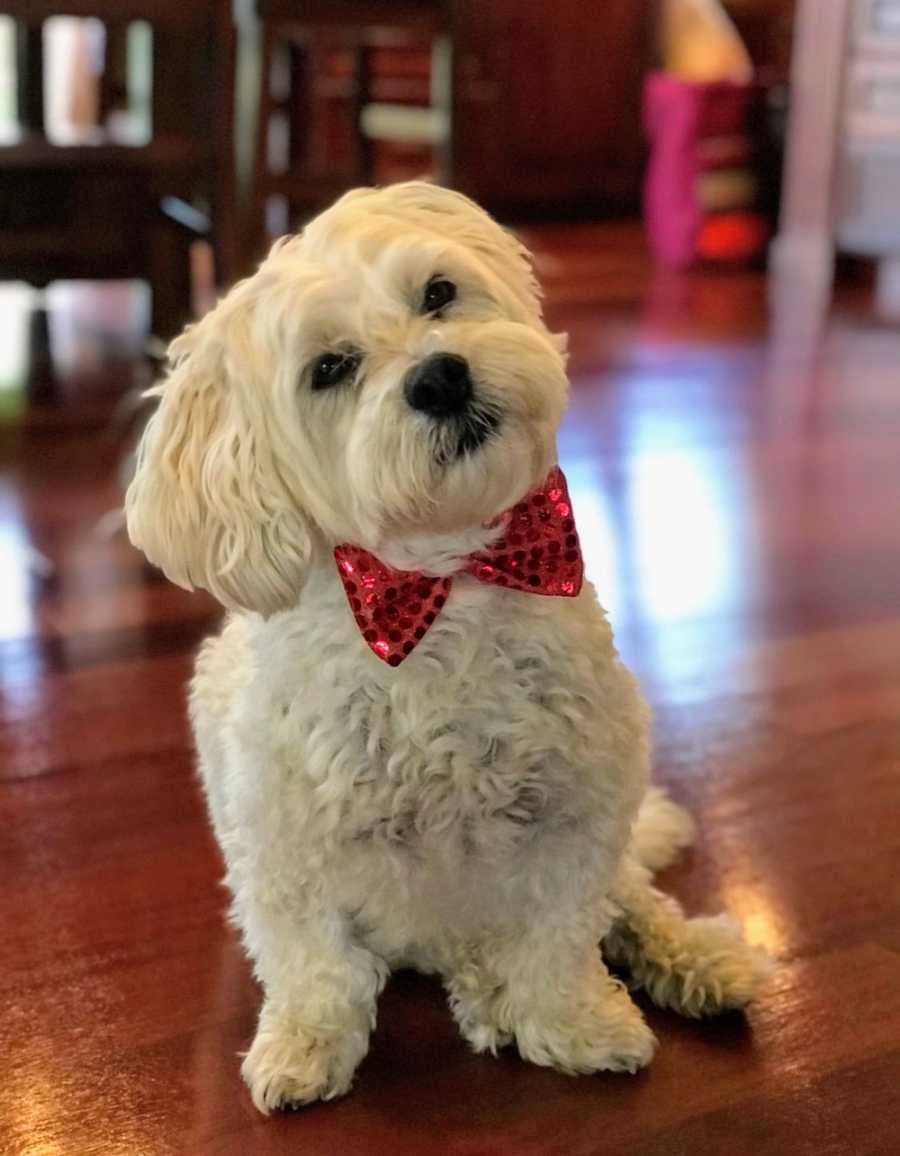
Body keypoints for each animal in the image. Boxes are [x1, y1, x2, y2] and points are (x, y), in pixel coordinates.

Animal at [124, 178, 767, 1109]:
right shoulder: (281, 849)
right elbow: (314, 966)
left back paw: (698, 961)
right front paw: (305, 1047)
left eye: (437, 294)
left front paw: (576, 1022)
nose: (439, 376)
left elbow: (559, 939)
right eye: (329, 369)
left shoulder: (576, 813)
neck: (439, 588)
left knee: (634, 904)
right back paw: (483, 990)